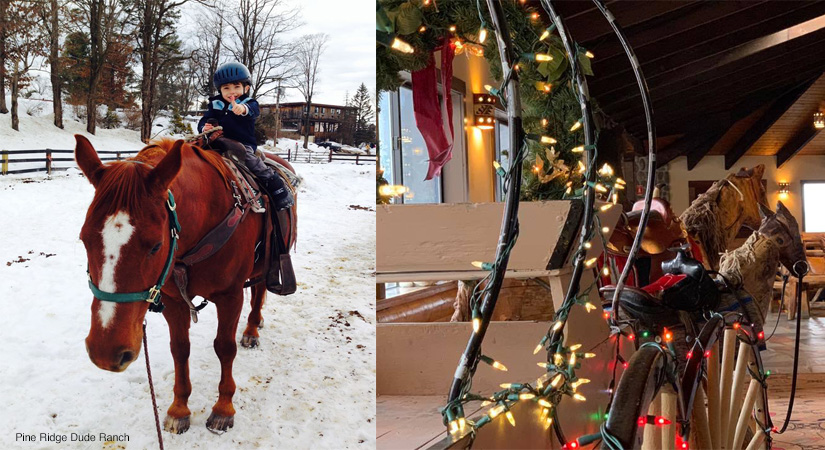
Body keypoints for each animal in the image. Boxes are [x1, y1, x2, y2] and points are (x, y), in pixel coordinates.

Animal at [75, 136, 292, 432]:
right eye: (84, 239)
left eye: (156, 245)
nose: (105, 352)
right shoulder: (174, 301)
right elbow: (179, 349)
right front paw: (179, 409)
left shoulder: (230, 296)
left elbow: (225, 348)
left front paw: (223, 407)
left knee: (258, 292)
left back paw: (251, 329)